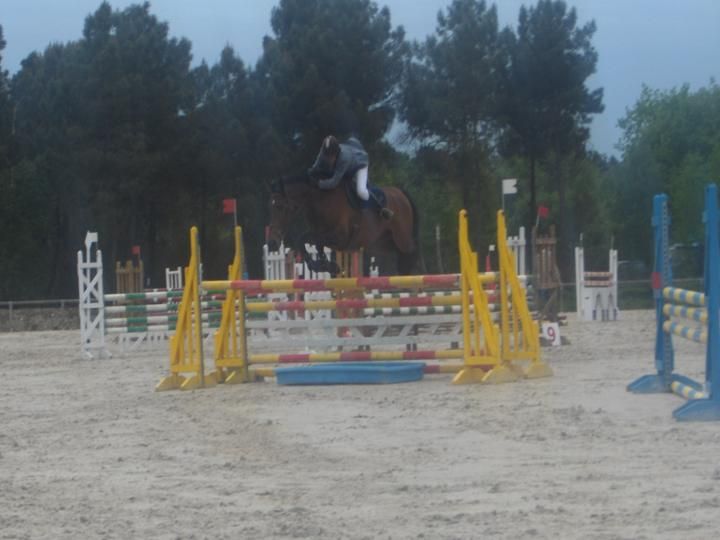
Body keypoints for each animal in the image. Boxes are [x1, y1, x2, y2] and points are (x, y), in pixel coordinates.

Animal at [267, 172, 423, 275]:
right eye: (271, 206)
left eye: (280, 207)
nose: (272, 243)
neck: (319, 201)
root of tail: (400, 193)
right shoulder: (321, 235)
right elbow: (308, 242)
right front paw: (326, 266)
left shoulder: (339, 238)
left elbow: (304, 239)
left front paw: (321, 265)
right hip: (383, 243)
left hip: (402, 240)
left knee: (412, 251)